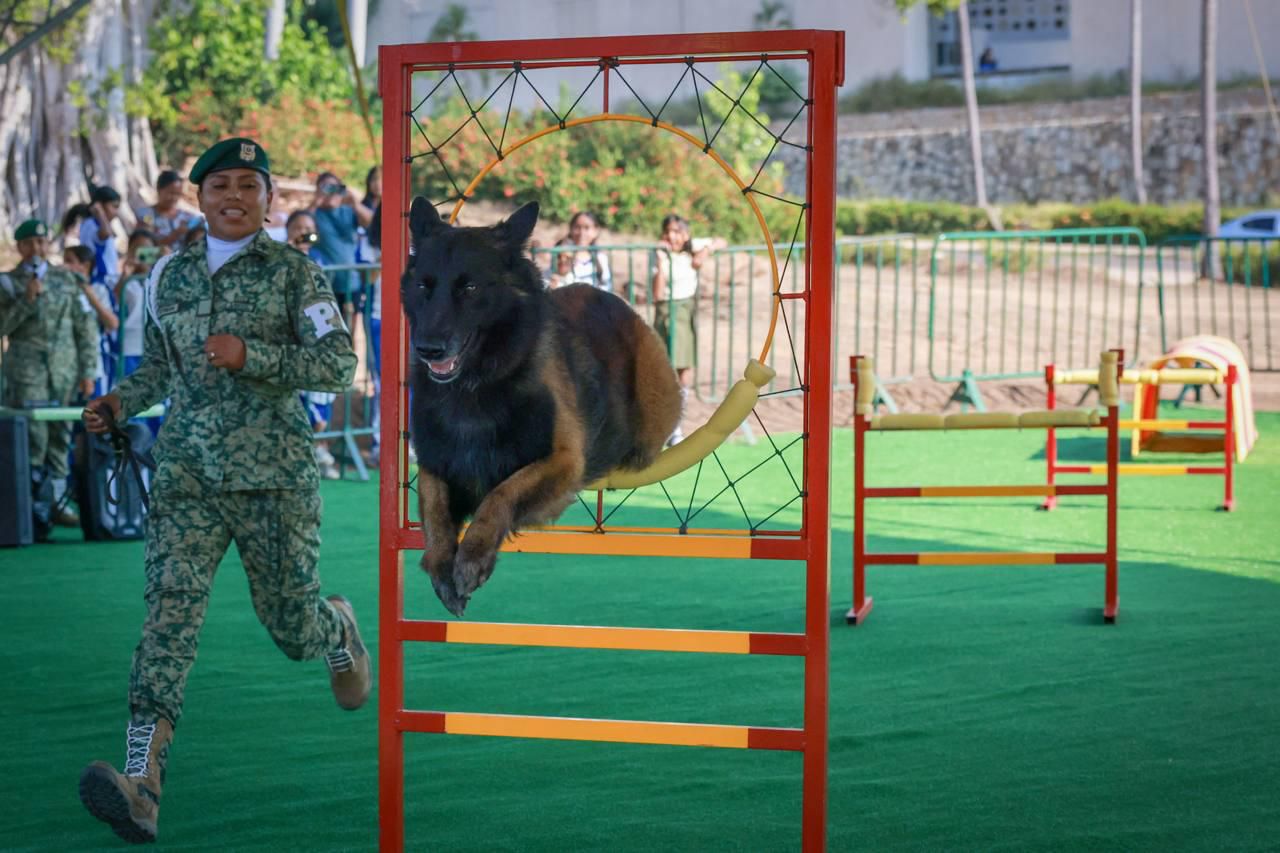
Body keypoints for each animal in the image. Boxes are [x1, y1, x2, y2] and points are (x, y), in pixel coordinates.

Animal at [401, 197, 686, 614]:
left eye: (469, 287)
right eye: (424, 285)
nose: (428, 349)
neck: (477, 386)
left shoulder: (562, 461)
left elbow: (501, 494)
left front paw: (472, 557)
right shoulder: (436, 461)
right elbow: (434, 508)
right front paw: (440, 565)